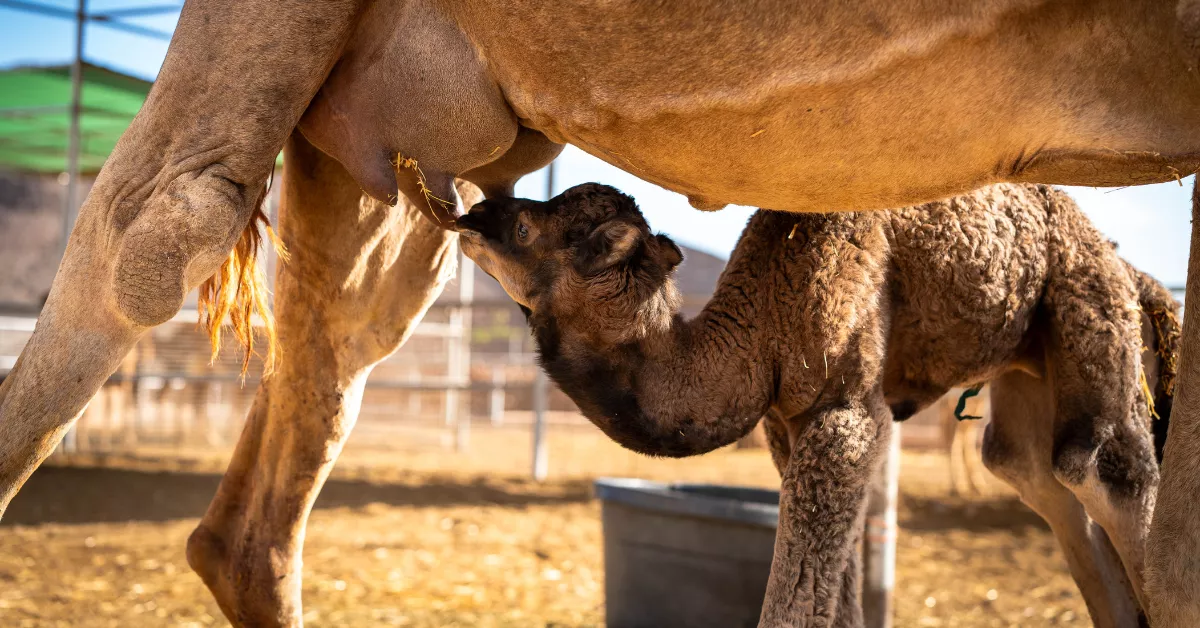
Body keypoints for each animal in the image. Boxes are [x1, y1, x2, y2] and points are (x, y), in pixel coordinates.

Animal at [456, 182, 1181, 627]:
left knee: (1102, 464)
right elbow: (841, 576)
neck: (761, 327)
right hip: (1029, 366)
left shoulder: (847, 412)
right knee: (1032, 470)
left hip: (1089, 308)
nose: (469, 216)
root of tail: (1137, 275)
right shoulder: (788, 422)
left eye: (524, 225)